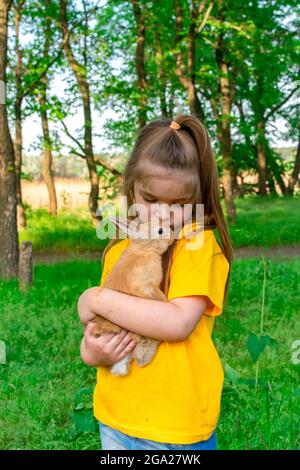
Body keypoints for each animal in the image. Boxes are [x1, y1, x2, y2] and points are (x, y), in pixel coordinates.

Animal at [91, 215, 176, 376]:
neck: (144, 250)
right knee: (142, 358)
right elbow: (156, 294)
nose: (172, 236)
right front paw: (165, 301)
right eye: (160, 231)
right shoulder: (148, 286)